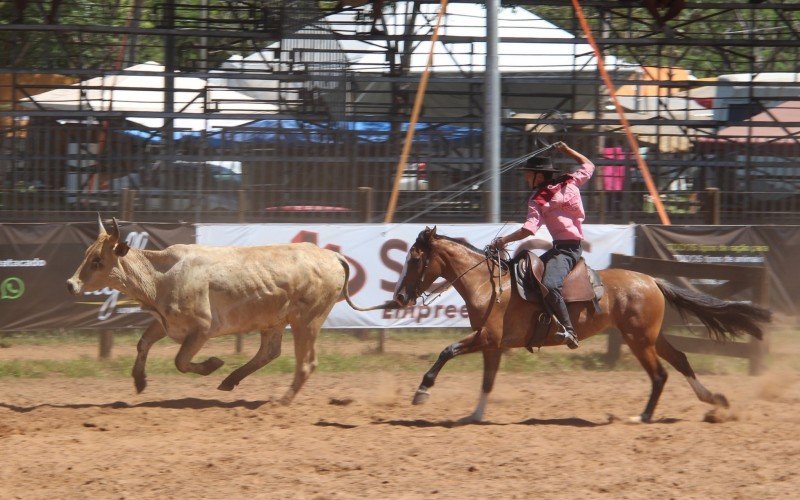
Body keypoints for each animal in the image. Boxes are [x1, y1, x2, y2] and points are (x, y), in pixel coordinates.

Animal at [67, 217, 376, 404]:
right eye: (86, 255)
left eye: (97, 260)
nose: (71, 284)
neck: (162, 277)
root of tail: (331, 255)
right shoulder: (166, 323)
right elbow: (143, 343)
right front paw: (140, 381)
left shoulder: (201, 330)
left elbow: (180, 361)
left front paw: (212, 364)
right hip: (274, 320)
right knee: (269, 352)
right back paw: (231, 380)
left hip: (308, 320)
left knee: (305, 363)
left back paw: (281, 400)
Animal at [392, 229, 768, 424]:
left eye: (415, 259)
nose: (399, 297)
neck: (489, 285)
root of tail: (652, 280)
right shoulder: (492, 343)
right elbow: (488, 381)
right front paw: (474, 415)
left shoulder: (484, 337)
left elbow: (447, 350)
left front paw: (422, 391)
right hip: (649, 336)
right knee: (680, 360)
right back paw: (712, 399)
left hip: (639, 340)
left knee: (660, 374)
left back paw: (643, 416)